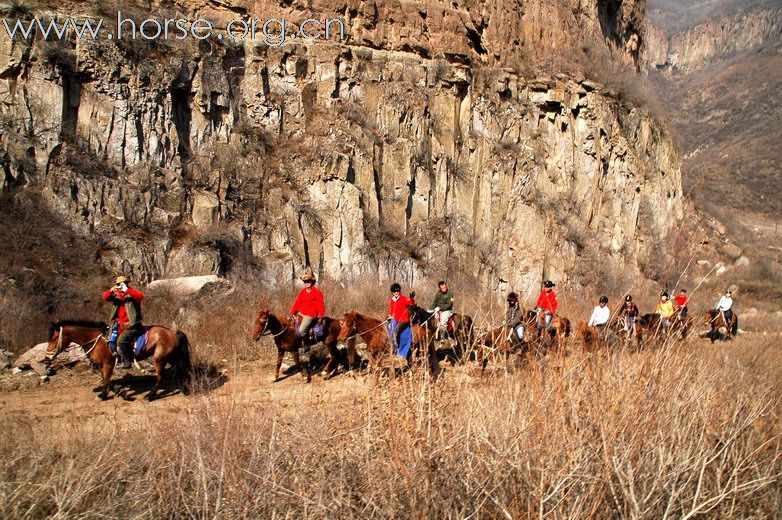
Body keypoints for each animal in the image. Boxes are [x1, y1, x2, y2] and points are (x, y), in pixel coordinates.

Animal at [45, 318, 193, 400]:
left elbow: (106, 381)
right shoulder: (102, 366)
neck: (97, 341)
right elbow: (107, 381)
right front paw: (121, 393)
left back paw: (150, 396)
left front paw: (103, 396)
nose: (47, 358)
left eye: (53, 338)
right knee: (182, 371)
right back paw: (184, 388)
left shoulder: (108, 364)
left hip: (159, 359)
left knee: (161, 377)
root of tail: (172, 332)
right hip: (171, 357)